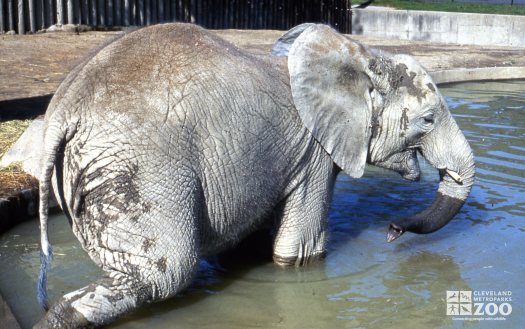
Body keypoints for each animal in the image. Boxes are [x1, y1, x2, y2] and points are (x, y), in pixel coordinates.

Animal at [34, 22, 472, 326]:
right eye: (428, 120)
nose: (393, 230)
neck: (359, 55)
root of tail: (63, 112)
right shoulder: (313, 151)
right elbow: (300, 251)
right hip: (140, 169)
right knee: (165, 273)